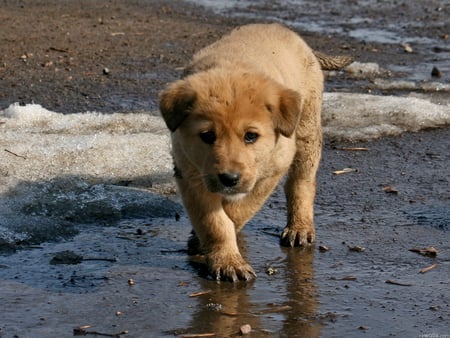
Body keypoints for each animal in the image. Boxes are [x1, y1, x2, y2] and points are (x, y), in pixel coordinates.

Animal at [160, 23, 354, 282]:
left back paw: (299, 227)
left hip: (307, 131)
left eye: (250, 136)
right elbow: (214, 221)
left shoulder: (271, 171)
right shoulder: (189, 171)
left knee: (301, 182)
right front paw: (227, 260)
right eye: (207, 136)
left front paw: (218, 249)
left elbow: (239, 211)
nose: (229, 179)